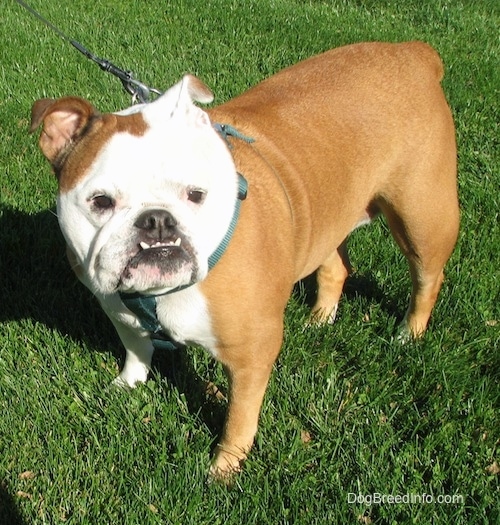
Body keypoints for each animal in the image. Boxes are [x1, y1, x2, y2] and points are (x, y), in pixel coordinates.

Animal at [30, 41, 458, 474]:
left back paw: (409, 334)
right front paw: (128, 383)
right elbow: (137, 347)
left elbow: (239, 416)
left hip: (423, 215)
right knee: (336, 265)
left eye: (196, 194)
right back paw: (320, 318)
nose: (157, 222)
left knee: (427, 276)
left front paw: (224, 466)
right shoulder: (117, 310)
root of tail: (413, 51)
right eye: (100, 202)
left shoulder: (251, 355)